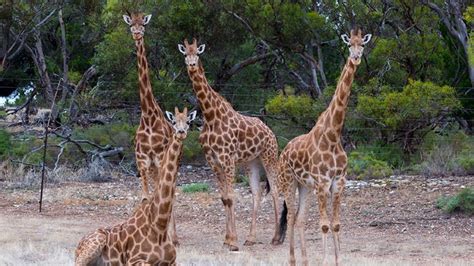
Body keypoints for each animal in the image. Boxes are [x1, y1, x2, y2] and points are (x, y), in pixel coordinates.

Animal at [74, 107, 196, 264]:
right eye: (173, 122)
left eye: (188, 122)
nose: (181, 132)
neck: (159, 224)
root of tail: (78, 245)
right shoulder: (134, 260)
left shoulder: (172, 261)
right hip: (93, 245)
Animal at [178, 38, 282, 250]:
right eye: (185, 54)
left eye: (197, 53)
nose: (192, 65)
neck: (210, 115)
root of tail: (270, 132)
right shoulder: (213, 160)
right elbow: (224, 198)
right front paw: (227, 239)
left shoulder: (227, 159)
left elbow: (231, 197)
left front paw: (233, 241)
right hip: (251, 162)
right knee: (257, 192)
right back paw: (250, 238)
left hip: (269, 156)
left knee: (275, 191)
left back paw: (276, 238)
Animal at [276, 29, 372, 266]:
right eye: (349, 45)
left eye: (362, 45)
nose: (356, 57)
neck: (333, 134)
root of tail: (283, 152)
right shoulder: (322, 183)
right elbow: (325, 225)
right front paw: (326, 260)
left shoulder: (338, 183)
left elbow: (336, 224)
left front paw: (337, 260)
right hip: (289, 183)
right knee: (290, 216)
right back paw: (292, 259)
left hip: (305, 187)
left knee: (299, 219)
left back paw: (304, 261)